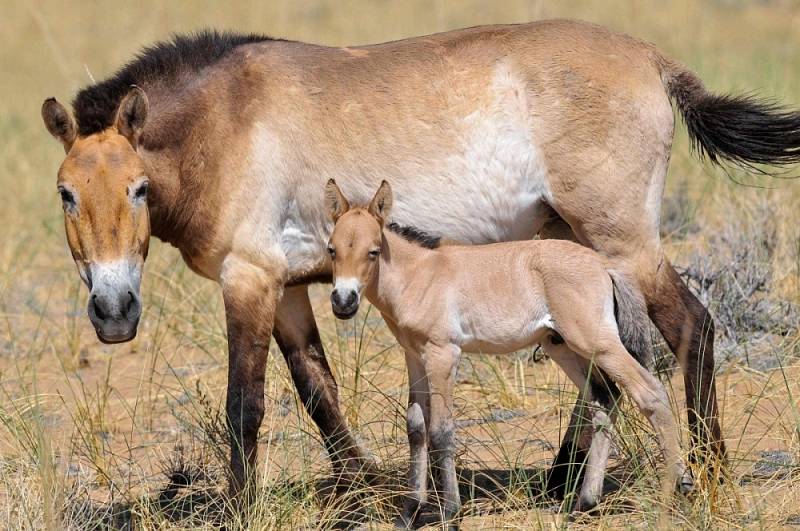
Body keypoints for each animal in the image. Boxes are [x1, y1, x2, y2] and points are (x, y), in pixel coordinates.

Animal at [324, 181, 692, 524]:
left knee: (649, 392)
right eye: (332, 250)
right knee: (606, 399)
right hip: (563, 346)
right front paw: (410, 513)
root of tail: (602, 263)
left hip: (597, 343)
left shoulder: (443, 354)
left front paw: (449, 511)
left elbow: (441, 429)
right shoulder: (414, 356)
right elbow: (416, 427)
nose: (343, 302)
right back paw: (584, 503)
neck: (419, 275)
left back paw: (678, 486)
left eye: (373, 251)